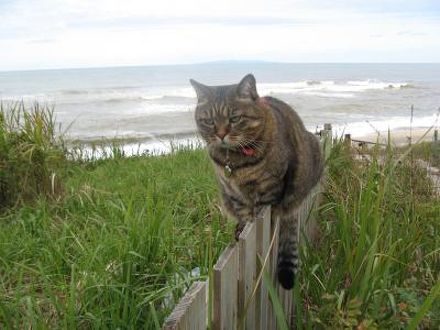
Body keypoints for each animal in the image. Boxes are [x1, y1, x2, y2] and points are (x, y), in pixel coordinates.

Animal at [190, 74, 324, 288]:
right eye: (209, 121)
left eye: (234, 119)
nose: (220, 134)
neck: (235, 162)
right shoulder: (233, 193)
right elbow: (244, 215)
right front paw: (242, 227)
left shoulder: (270, 187)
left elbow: (261, 212)